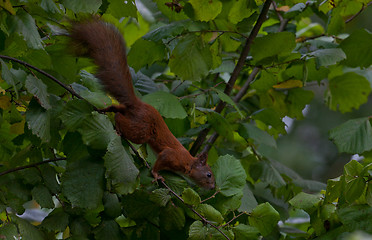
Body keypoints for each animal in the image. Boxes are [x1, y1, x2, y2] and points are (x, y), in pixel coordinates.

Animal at [70, 18, 215, 189]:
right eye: (208, 174)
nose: (213, 187)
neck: (189, 163)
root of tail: (138, 105)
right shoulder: (172, 156)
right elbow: (162, 159)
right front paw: (156, 174)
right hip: (141, 130)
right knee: (121, 118)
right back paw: (118, 126)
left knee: (119, 108)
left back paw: (107, 108)